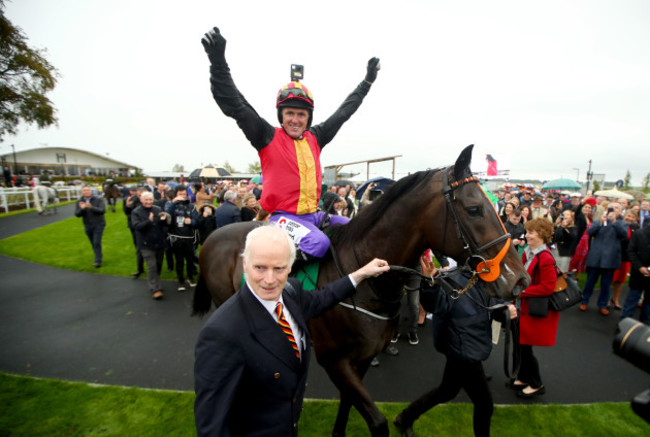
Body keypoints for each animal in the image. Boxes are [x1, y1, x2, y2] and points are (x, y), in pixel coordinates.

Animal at [191, 144, 528, 436]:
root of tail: (214, 236)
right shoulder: (334, 360)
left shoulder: (362, 357)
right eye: (474, 209)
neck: (366, 282)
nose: (519, 279)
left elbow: (347, 404)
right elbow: (377, 422)